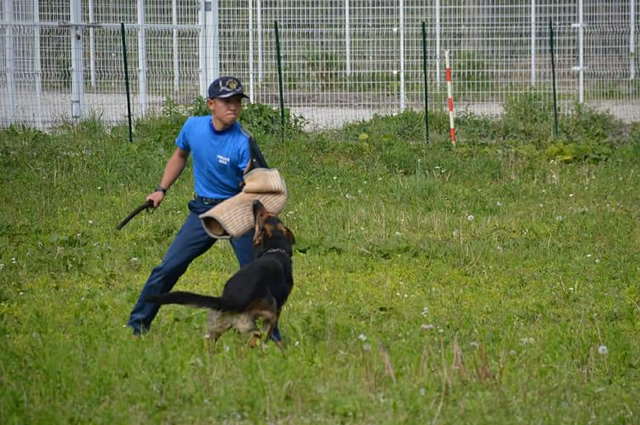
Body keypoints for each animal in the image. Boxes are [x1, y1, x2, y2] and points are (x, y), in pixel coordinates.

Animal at [146, 199, 296, 344]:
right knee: (256, 337)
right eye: (262, 216)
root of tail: (231, 298)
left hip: (217, 327)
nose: (255, 201)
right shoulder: (278, 308)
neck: (275, 248)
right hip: (265, 314)